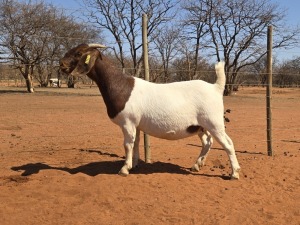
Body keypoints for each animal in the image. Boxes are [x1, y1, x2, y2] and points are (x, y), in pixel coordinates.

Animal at [59, 43, 240, 178]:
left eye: (78, 53)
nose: (61, 64)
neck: (121, 85)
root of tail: (216, 87)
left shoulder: (127, 122)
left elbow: (127, 144)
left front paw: (124, 169)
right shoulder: (136, 124)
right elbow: (136, 143)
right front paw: (135, 164)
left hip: (214, 122)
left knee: (228, 144)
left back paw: (234, 173)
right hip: (200, 126)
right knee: (207, 142)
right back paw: (196, 165)